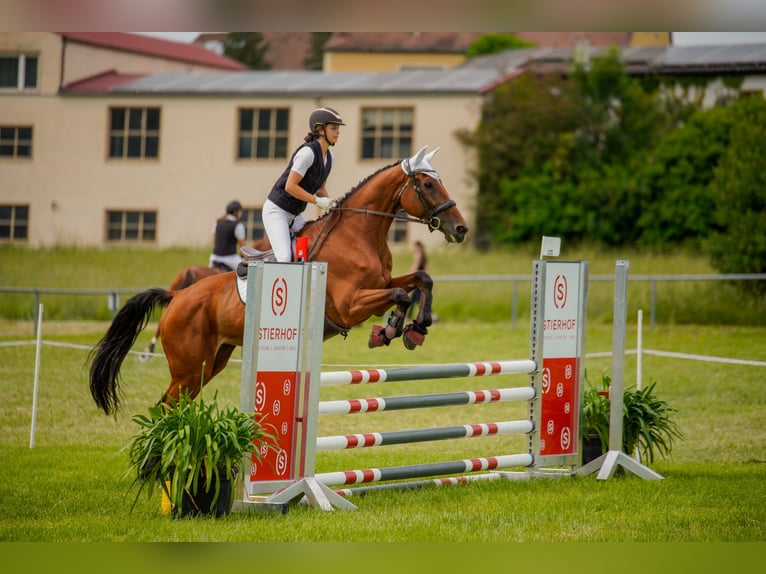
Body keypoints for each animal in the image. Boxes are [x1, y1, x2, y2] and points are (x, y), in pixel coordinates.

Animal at [91, 147, 474, 418]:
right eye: (428, 184)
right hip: (188, 370)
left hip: (211, 363)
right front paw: (390, 330)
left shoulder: (382, 282)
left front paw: (417, 329)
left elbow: (421, 280)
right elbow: (399, 295)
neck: (359, 234)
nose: (461, 228)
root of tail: (176, 296)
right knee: (164, 408)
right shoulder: (350, 305)